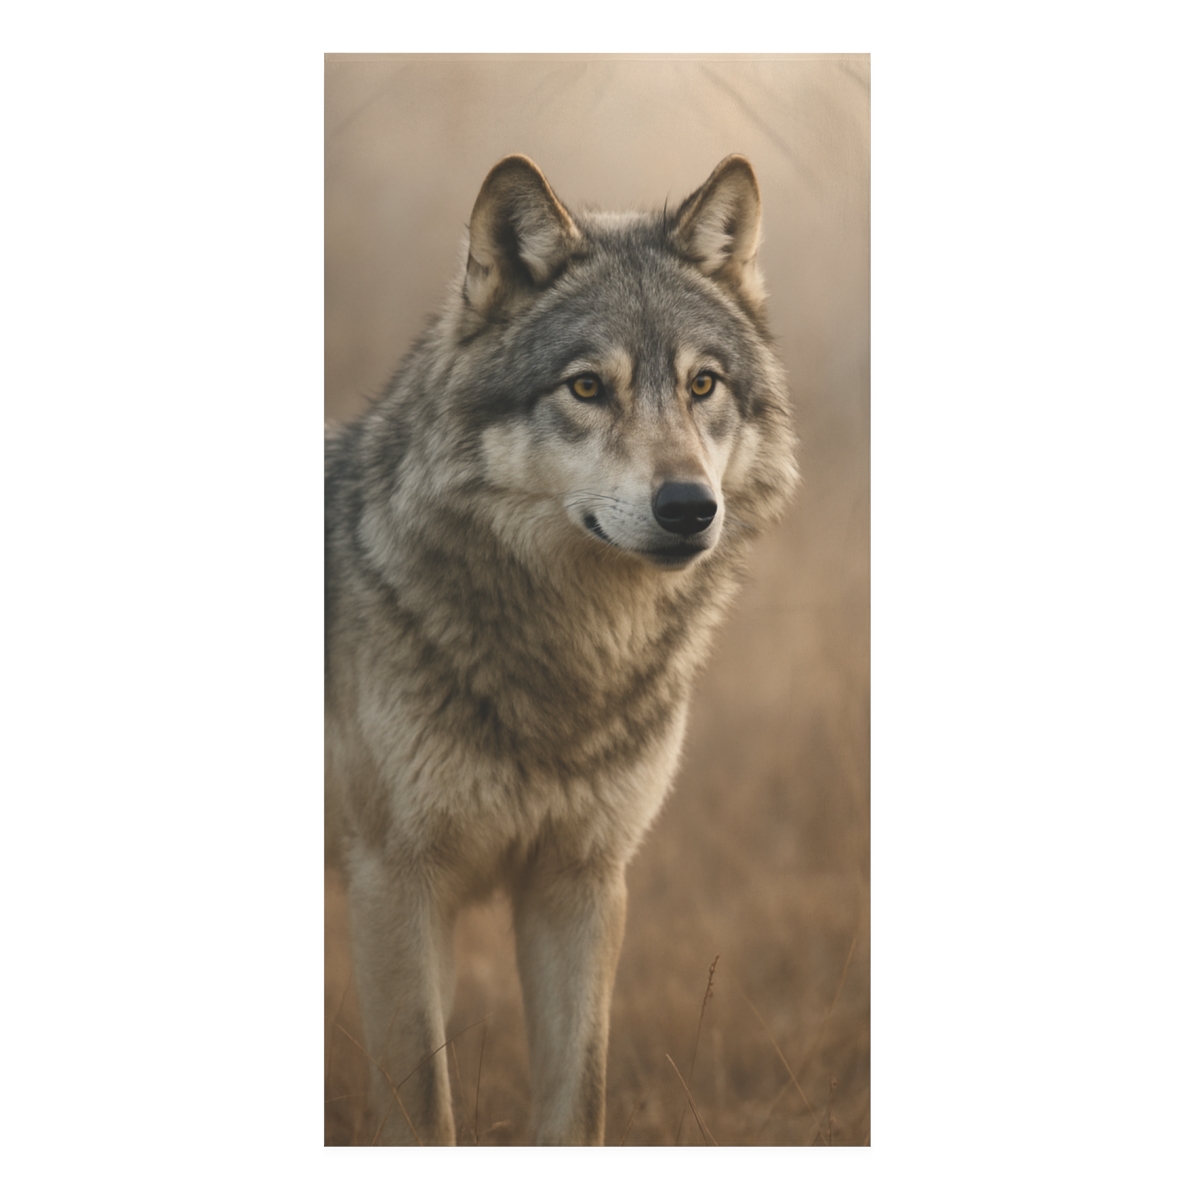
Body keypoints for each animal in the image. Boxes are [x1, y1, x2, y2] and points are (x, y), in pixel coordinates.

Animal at [325, 153, 798, 1145]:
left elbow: (579, 1105)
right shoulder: (393, 883)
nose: (689, 507)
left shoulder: (580, 882)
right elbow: (424, 1117)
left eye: (703, 385)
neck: (569, 673)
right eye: (587, 388)